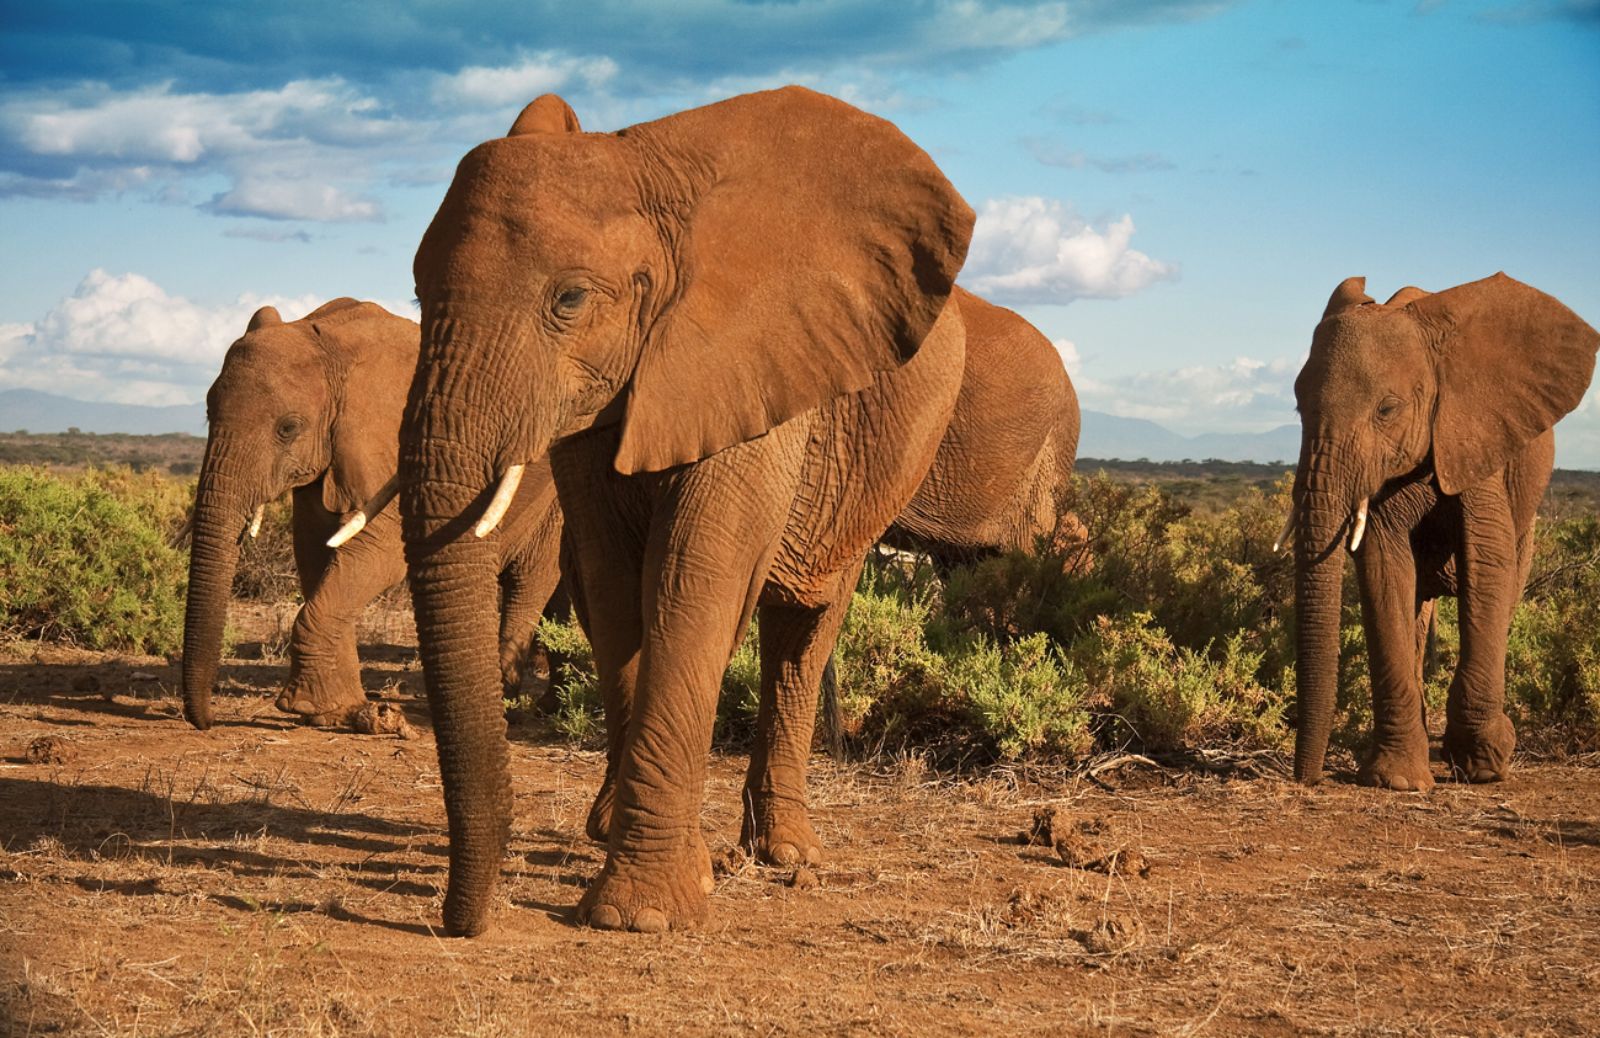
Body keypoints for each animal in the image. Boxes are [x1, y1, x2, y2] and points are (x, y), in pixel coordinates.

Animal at [179, 297, 566, 729]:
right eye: (208, 414)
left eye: (288, 428)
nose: (206, 720)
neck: (332, 344)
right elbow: (315, 554)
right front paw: (337, 712)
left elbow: (379, 554)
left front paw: (307, 707)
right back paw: (550, 705)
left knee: (530, 580)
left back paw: (509, 706)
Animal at [400, 87, 972, 934]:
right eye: (416, 292)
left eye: (570, 299)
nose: (457, 922)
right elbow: (613, 587)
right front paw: (654, 865)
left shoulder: (752, 368)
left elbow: (695, 577)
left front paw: (639, 915)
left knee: (803, 624)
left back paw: (785, 852)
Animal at [1286, 275, 1600, 786]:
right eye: (1297, 405)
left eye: (1387, 409)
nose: (1306, 778)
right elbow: (1383, 565)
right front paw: (1396, 780)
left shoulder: (1475, 434)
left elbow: (1488, 558)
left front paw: (1485, 763)